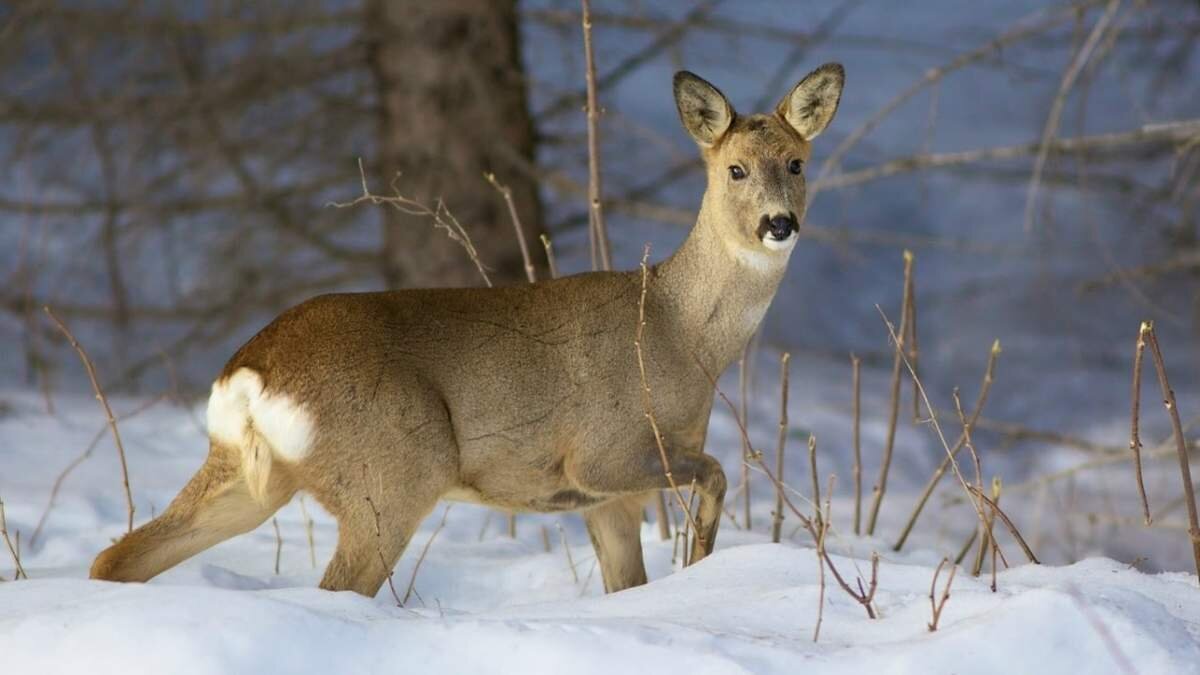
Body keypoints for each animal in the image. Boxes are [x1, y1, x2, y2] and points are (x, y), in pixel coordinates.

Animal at [91, 64, 844, 593]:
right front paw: (701, 561)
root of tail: (250, 372)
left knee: (119, 555)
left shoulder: (606, 499)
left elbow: (626, 583)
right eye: (735, 168)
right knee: (338, 583)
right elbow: (715, 474)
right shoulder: (603, 452)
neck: (679, 333)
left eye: (797, 162)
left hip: (248, 475)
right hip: (393, 471)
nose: (779, 223)